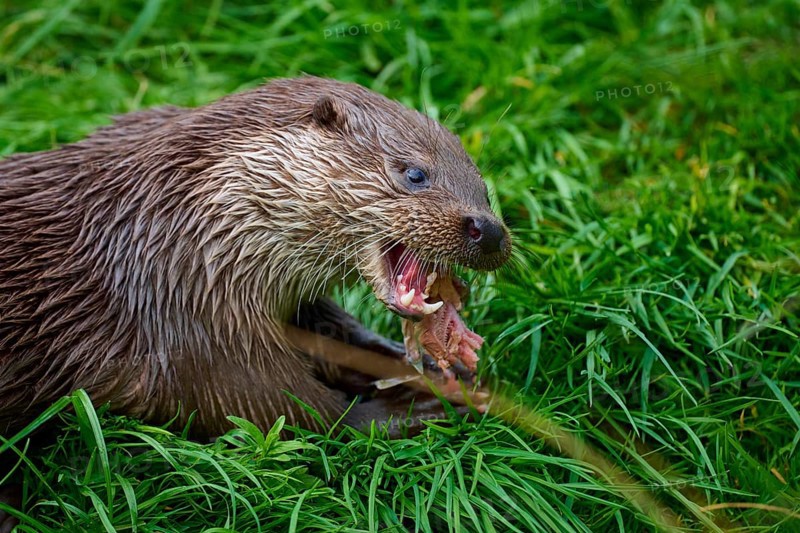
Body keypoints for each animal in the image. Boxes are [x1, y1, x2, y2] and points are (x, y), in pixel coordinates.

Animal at [0, 76, 511, 440]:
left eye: (484, 188)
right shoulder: (182, 325)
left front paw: (438, 371)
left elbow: (340, 339)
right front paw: (419, 407)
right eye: (415, 174)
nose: (488, 231)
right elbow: (281, 408)